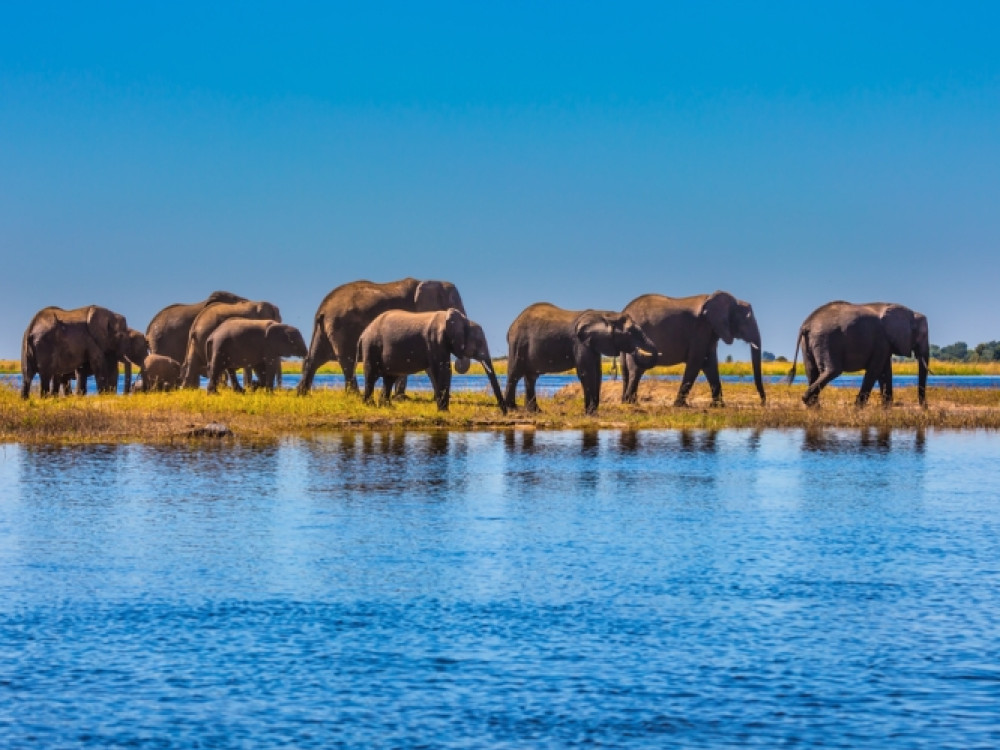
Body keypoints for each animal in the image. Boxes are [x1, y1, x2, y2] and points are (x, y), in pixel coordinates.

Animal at [296, 280, 468, 396]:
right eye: (453, 307)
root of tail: (323, 309)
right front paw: (401, 397)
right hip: (341, 327)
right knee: (347, 361)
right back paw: (354, 395)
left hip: (323, 329)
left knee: (314, 359)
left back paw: (302, 393)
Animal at [356, 312, 508, 418]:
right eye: (479, 342)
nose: (504, 414)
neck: (461, 319)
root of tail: (363, 334)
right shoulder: (435, 340)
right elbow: (442, 370)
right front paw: (444, 412)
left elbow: (444, 370)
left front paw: (443, 411)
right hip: (371, 345)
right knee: (371, 375)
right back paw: (369, 406)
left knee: (389, 378)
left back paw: (387, 407)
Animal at [504, 302, 660, 418]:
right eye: (630, 333)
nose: (636, 350)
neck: (605, 315)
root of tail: (512, 325)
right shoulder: (580, 343)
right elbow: (587, 373)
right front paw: (590, 413)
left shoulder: (593, 344)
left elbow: (597, 374)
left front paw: (593, 412)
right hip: (518, 343)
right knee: (515, 374)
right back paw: (512, 409)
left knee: (531, 377)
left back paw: (535, 411)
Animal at [616, 290, 764, 408]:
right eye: (747, 319)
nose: (762, 403)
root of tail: (625, 311)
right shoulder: (701, 329)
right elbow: (696, 362)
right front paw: (680, 405)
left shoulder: (710, 331)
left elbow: (710, 364)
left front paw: (718, 406)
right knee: (637, 370)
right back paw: (631, 402)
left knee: (625, 371)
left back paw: (626, 401)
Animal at [784, 300, 932, 408]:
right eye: (922, 335)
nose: (924, 406)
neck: (910, 312)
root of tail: (806, 324)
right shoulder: (882, 339)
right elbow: (876, 369)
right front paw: (859, 406)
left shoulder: (884, 343)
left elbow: (885, 371)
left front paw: (887, 407)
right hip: (826, 339)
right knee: (832, 370)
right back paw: (809, 401)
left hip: (809, 343)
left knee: (811, 371)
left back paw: (814, 406)